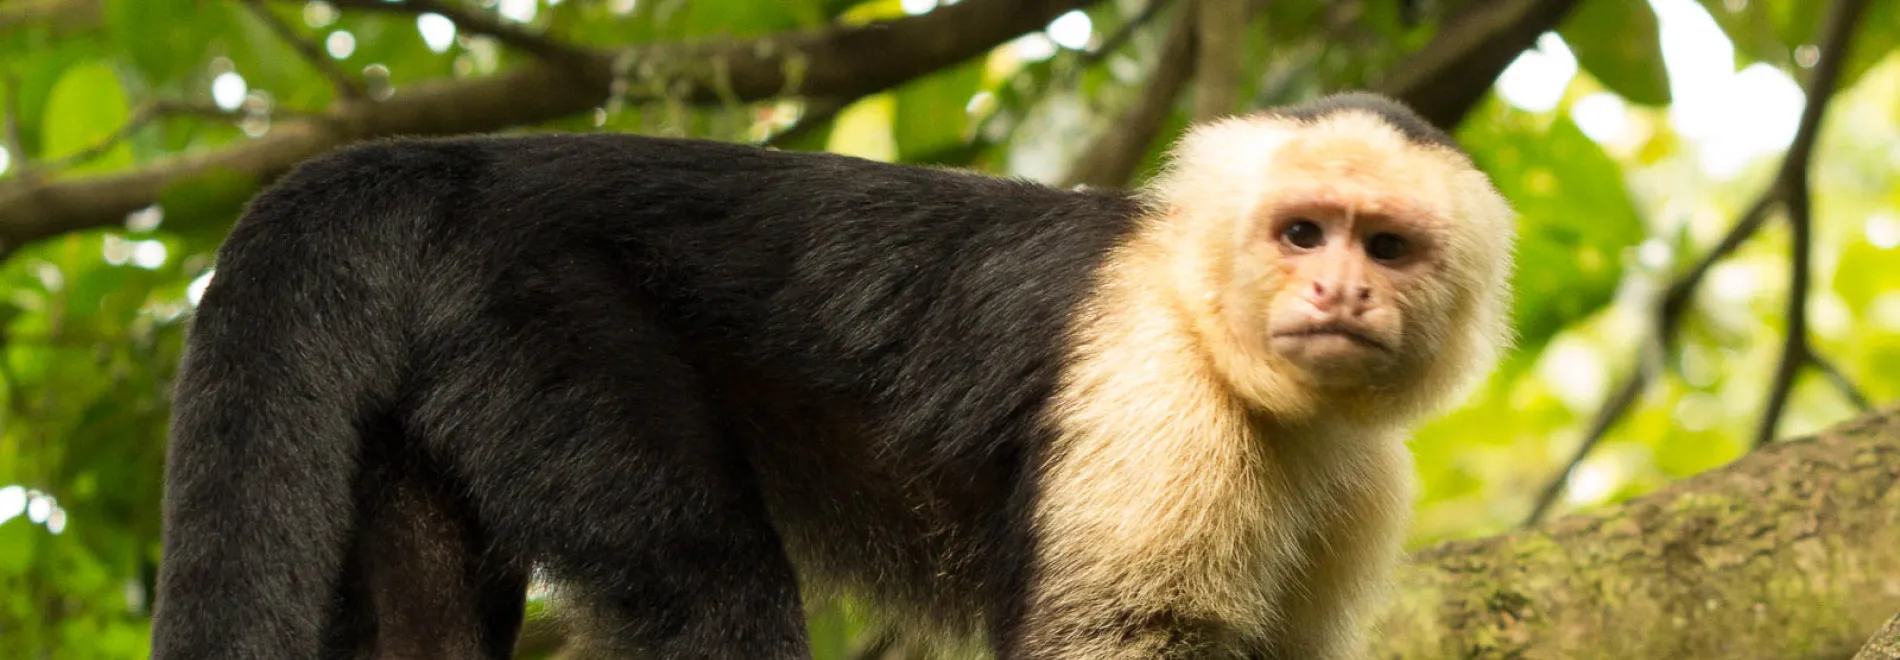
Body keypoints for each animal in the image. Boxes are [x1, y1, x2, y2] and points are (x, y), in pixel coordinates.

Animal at [149, 91, 1514, 660]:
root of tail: (458, 161)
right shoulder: (1153, 390)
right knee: (711, 588)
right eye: (1303, 233)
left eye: (1386, 248)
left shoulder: (1363, 482)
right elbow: (1109, 638)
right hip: (530, 312)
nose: (1338, 296)